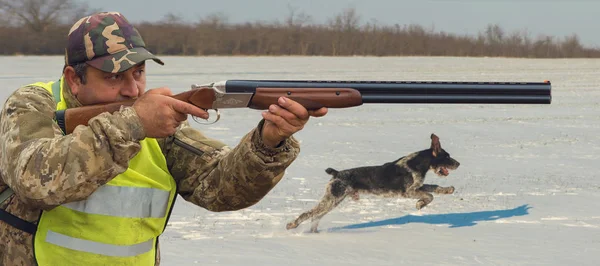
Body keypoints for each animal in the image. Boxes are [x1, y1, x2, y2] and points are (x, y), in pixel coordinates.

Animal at [286, 134, 460, 232]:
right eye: (447, 156)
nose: (458, 163)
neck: (418, 163)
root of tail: (336, 173)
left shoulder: (418, 186)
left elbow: (434, 188)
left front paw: (448, 190)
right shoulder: (408, 191)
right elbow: (429, 195)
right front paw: (420, 204)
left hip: (334, 200)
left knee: (315, 216)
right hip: (332, 198)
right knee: (308, 214)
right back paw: (292, 225)